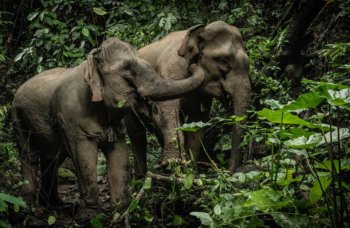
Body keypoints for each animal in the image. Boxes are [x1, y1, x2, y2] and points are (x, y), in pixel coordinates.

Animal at [12, 36, 205, 208]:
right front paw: (90, 206)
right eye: (127, 68)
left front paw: (121, 205)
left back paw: (54, 204)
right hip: (18, 116)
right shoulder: (69, 118)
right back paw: (28, 205)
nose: (191, 64)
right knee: (29, 156)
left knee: (52, 158)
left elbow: (119, 157)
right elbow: (83, 155)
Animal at [126, 20, 252, 176]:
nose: (228, 171)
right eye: (224, 61)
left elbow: (197, 120)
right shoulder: (171, 68)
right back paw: (142, 177)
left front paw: (189, 171)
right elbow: (166, 106)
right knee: (136, 133)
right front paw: (173, 163)